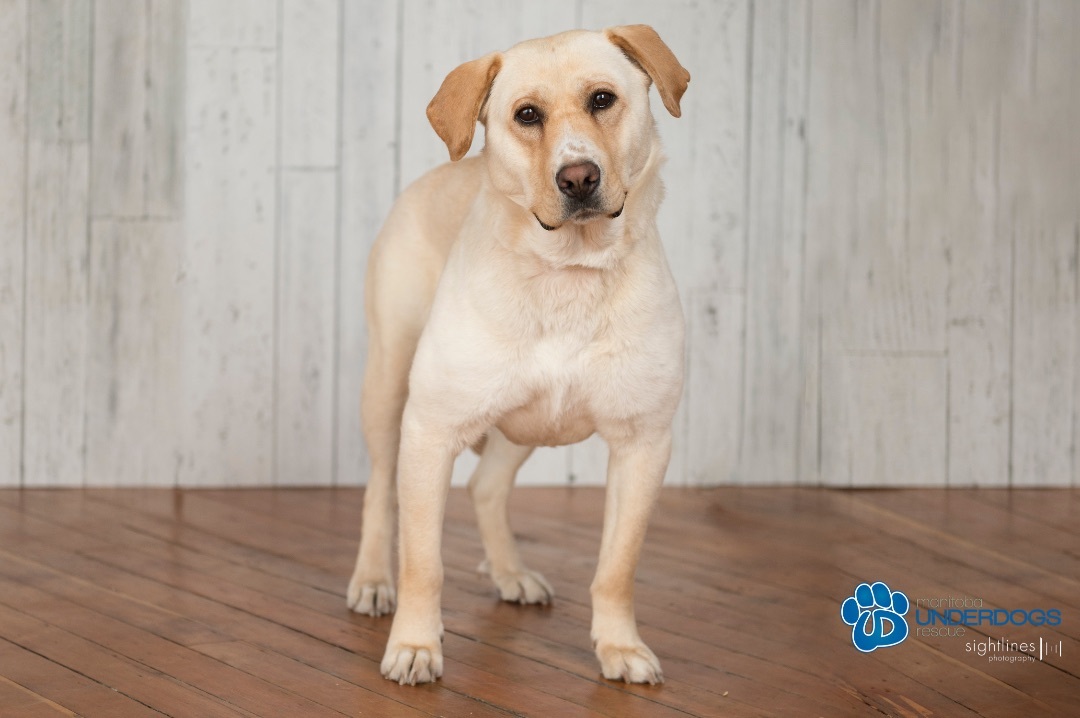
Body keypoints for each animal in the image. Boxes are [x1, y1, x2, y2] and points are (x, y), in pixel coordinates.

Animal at [347, 23, 691, 682]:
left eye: (603, 100)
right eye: (526, 115)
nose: (578, 177)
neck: (568, 273)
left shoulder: (643, 444)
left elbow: (617, 567)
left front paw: (620, 647)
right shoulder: (430, 431)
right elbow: (425, 563)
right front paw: (416, 646)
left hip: (524, 423)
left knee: (486, 487)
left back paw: (510, 574)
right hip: (387, 385)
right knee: (379, 491)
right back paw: (374, 581)